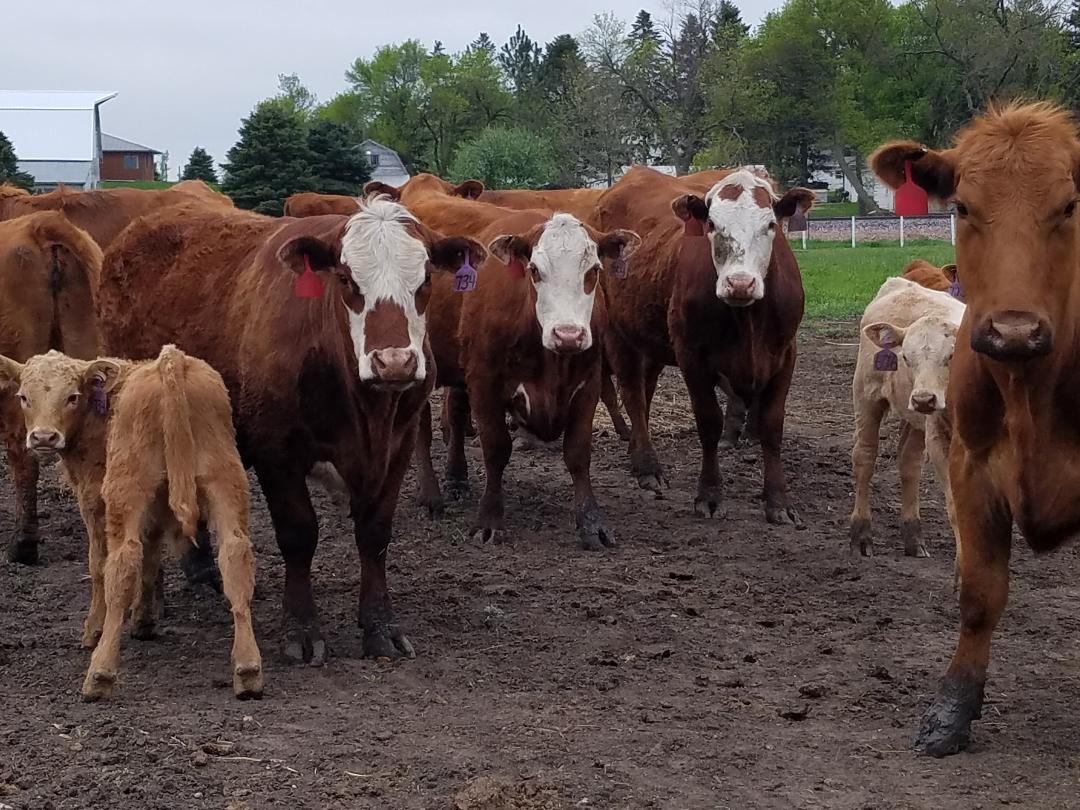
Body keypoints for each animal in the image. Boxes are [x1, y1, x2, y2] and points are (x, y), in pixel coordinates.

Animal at [0, 346, 262, 702]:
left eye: (72, 396)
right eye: (24, 397)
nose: (43, 437)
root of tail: (170, 364)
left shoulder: (94, 501)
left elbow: (100, 565)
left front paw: (94, 629)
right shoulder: (157, 504)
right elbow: (151, 557)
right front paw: (144, 620)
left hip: (126, 491)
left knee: (122, 562)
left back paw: (100, 673)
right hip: (224, 482)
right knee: (235, 556)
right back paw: (248, 669)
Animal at [95, 196, 484, 664]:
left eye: (425, 278)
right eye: (346, 278)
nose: (394, 362)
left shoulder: (399, 445)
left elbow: (375, 534)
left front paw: (379, 627)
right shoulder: (276, 451)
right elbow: (299, 534)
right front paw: (301, 629)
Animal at [411, 205, 639, 547]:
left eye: (594, 270)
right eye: (534, 270)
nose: (567, 335)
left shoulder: (588, 384)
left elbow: (578, 452)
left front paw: (592, 524)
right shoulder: (485, 383)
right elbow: (496, 449)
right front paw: (490, 520)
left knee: (455, 412)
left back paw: (456, 478)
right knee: (422, 429)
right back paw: (430, 494)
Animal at [849, 277, 964, 559]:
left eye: (951, 355)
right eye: (905, 357)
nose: (924, 399)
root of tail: (899, 283)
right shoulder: (939, 438)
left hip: (915, 420)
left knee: (909, 463)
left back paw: (914, 537)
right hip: (866, 395)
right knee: (864, 458)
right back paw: (861, 535)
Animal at [871, 101, 1080, 756]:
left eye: (1069, 204)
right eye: (962, 206)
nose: (1014, 330)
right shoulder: (971, 466)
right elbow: (979, 594)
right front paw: (952, 712)